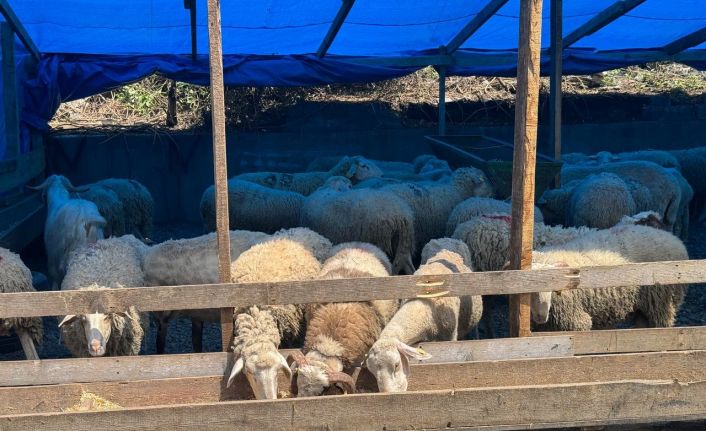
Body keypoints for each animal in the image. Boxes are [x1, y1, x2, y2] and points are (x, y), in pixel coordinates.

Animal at [366, 238, 482, 394]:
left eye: (396, 365)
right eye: (372, 372)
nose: (388, 394)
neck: (424, 306)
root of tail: (446, 240)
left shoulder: (449, 337)